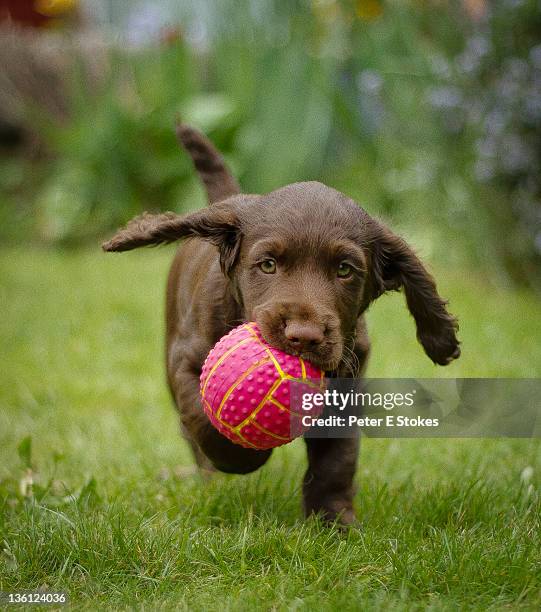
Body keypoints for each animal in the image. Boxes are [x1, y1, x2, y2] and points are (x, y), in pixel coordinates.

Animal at [100, 123, 456, 520]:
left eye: (345, 270)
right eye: (268, 264)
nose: (304, 336)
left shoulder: (348, 385)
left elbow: (337, 458)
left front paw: (332, 519)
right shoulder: (186, 362)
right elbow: (202, 419)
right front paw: (242, 458)